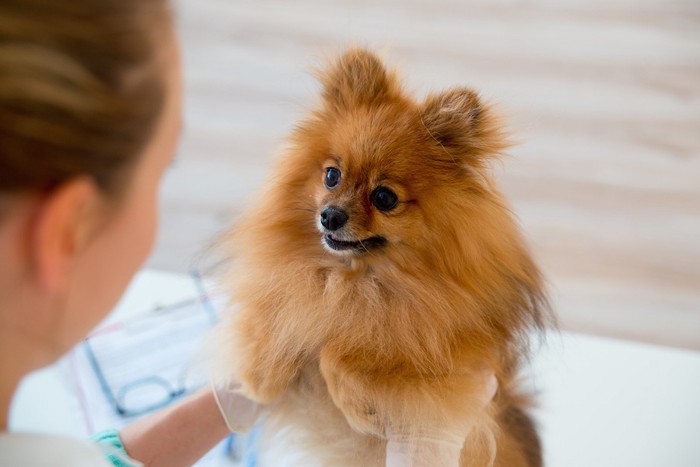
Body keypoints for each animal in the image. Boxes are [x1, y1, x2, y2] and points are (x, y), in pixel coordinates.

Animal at [216, 49, 548, 466]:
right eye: (331, 176)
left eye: (384, 197)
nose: (330, 216)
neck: (354, 279)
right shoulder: (294, 292)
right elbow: (277, 321)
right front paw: (262, 378)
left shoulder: (443, 359)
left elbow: (335, 353)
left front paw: (361, 410)